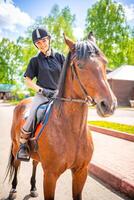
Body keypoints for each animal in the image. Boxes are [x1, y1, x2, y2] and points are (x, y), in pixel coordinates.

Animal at [5, 35, 116, 199]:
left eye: (105, 62)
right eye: (79, 65)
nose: (109, 105)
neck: (72, 130)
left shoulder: (81, 172)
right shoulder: (50, 176)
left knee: (34, 163)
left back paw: (33, 188)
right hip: (15, 145)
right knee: (17, 164)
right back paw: (13, 189)